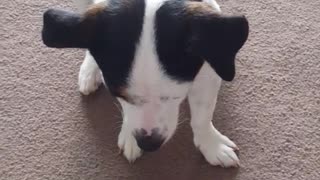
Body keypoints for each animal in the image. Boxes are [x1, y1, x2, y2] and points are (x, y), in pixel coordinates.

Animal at [41, 0, 249, 167]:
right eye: (118, 94)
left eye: (176, 96)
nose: (149, 144)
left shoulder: (209, 68)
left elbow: (202, 117)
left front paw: (211, 144)